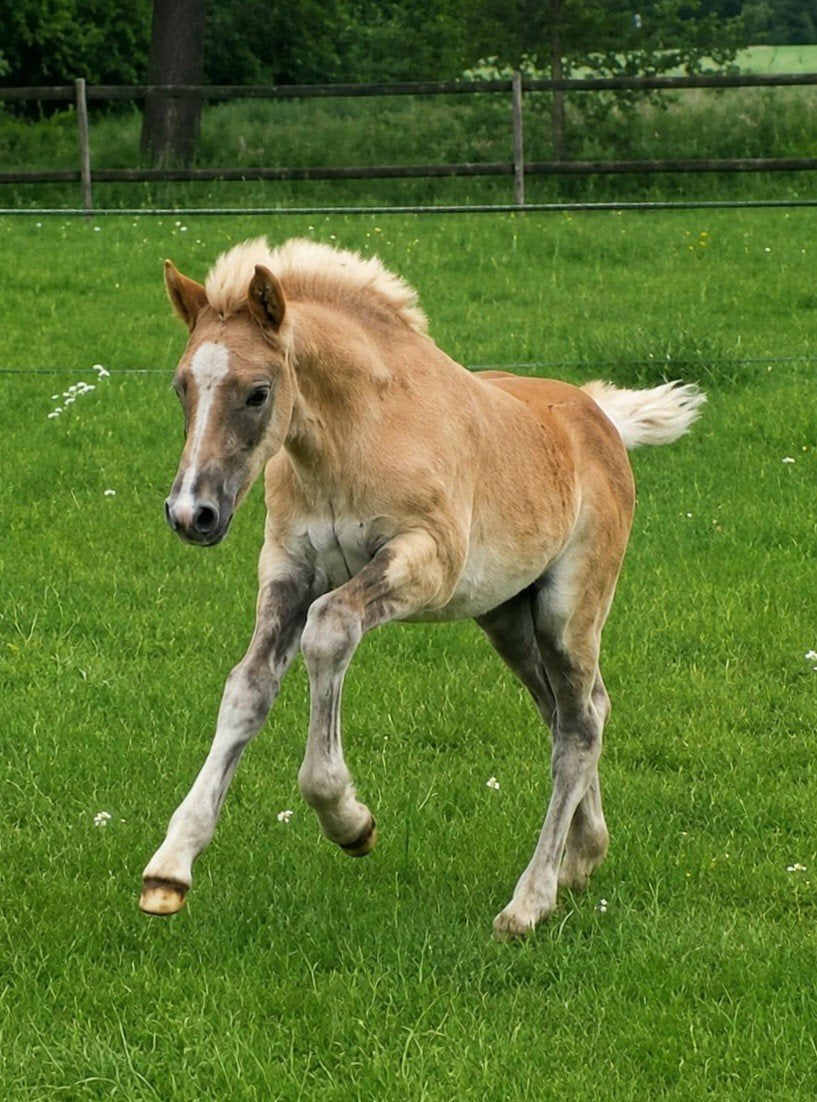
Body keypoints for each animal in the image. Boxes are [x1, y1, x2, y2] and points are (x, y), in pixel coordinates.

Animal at [139, 236, 704, 938]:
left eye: (257, 392)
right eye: (181, 386)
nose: (192, 514)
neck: (356, 437)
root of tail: (597, 415)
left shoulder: (423, 562)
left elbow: (330, 630)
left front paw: (349, 821)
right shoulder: (288, 571)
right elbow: (247, 687)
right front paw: (170, 866)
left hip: (568, 613)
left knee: (578, 725)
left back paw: (529, 902)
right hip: (508, 618)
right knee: (572, 711)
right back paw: (582, 857)